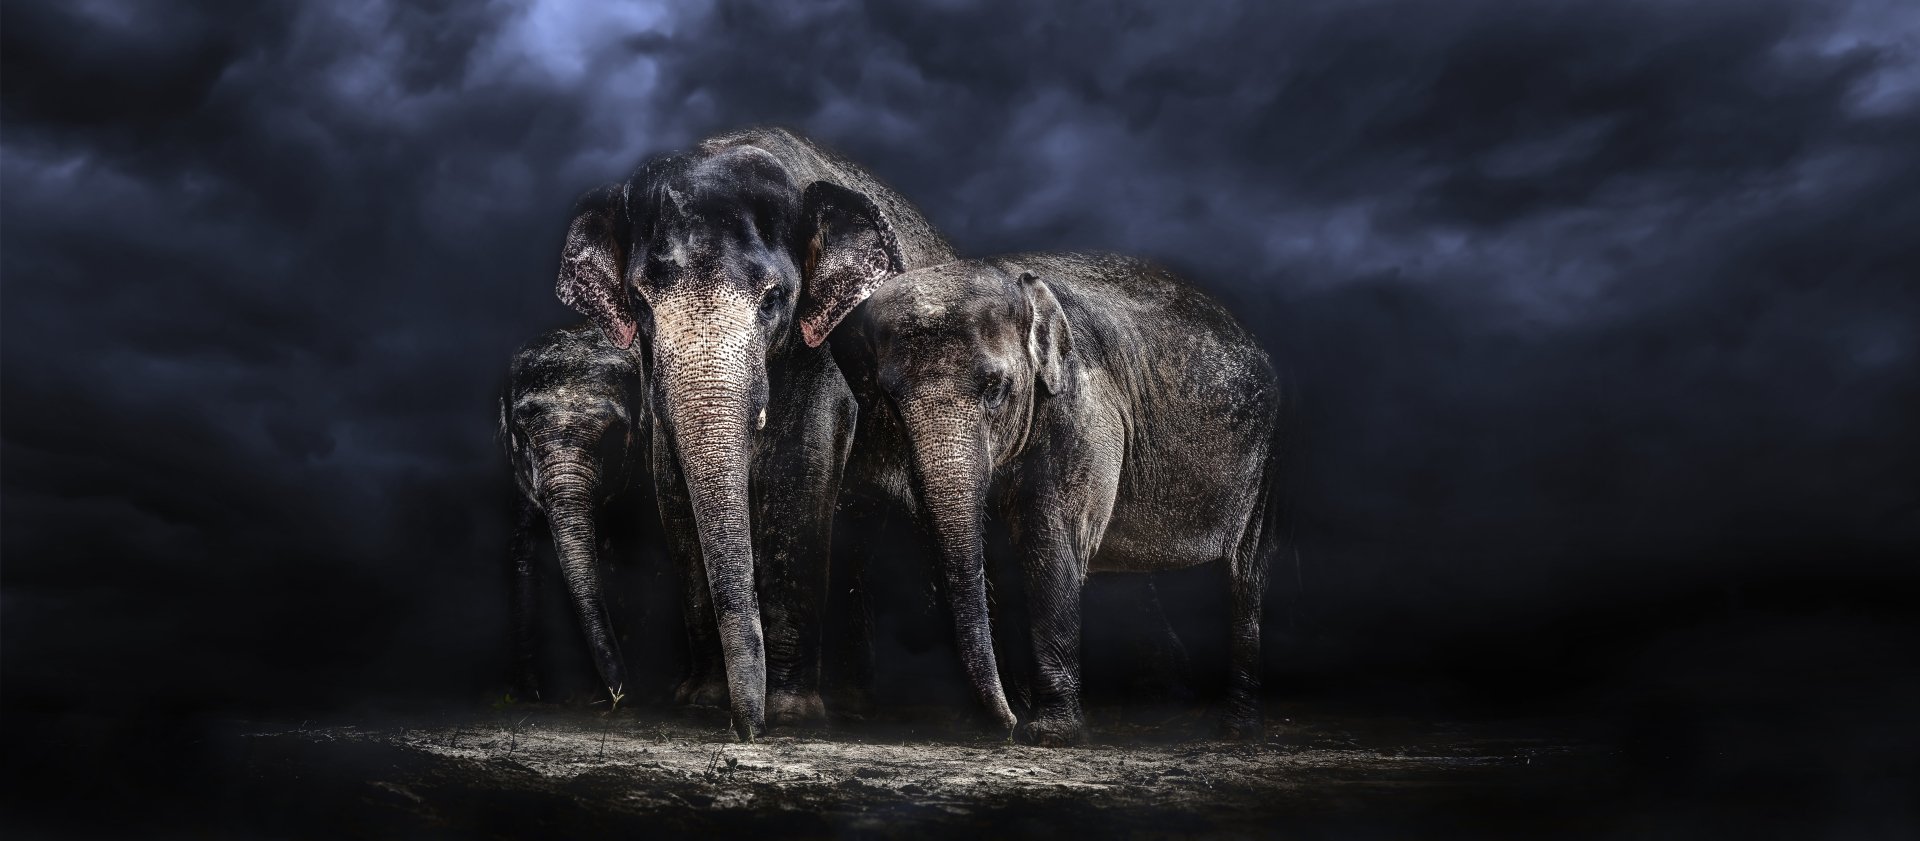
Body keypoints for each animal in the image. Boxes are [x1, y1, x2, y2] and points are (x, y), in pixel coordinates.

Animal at [553, 127, 956, 739]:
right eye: (641, 301)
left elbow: (800, 474)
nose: (747, 731)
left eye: (773, 299)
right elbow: (673, 487)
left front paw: (790, 713)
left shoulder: (826, 344)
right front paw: (702, 702)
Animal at [808, 246, 1286, 746]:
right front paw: (1010, 716)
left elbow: (1049, 542)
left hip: (1267, 458)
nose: (1005, 724)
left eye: (995, 389)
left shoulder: (1084, 412)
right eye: (890, 400)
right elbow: (996, 558)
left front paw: (1050, 734)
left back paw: (1234, 729)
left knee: (1245, 575)